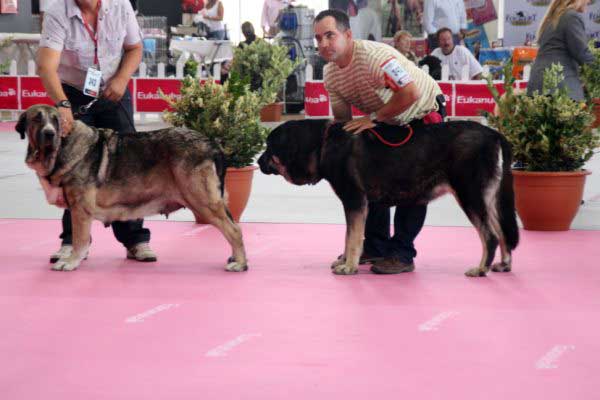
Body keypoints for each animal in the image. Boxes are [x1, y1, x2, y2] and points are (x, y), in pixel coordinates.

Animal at [16, 104, 247, 272]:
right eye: (37, 119)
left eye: (56, 120)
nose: (49, 134)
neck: (62, 147)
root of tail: (212, 145)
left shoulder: (80, 210)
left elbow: (80, 240)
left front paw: (71, 262)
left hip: (204, 202)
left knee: (234, 230)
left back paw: (240, 263)